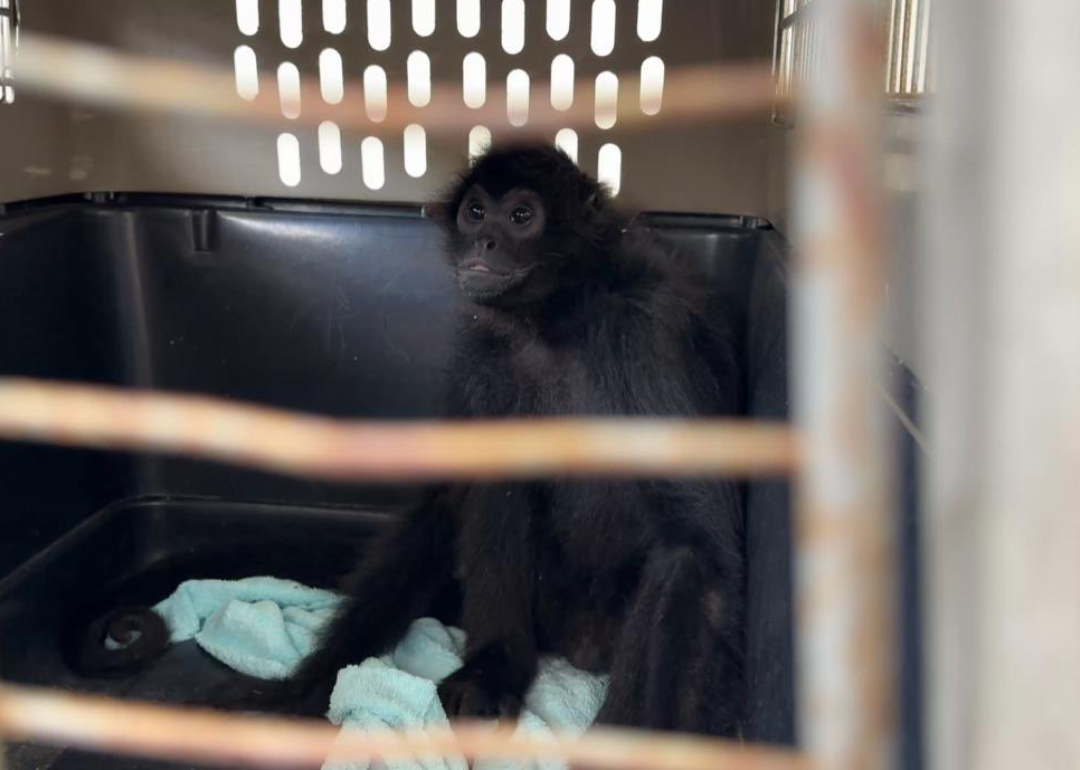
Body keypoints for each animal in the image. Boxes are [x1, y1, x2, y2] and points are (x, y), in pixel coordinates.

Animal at [214, 144, 746, 736]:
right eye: (475, 213)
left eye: (520, 216)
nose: (484, 240)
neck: (561, 319)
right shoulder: (487, 349)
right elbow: (456, 493)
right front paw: (306, 687)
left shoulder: (648, 332)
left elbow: (694, 546)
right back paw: (494, 669)